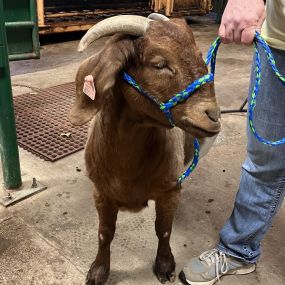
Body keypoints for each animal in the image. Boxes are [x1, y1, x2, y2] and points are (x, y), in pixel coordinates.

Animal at [69, 15, 220, 284]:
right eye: (159, 64)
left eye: (199, 56)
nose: (213, 116)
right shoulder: (101, 192)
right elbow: (104, 233)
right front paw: (98, 270)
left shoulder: (169, 191)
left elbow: (164, 230)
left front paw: (164, 265)